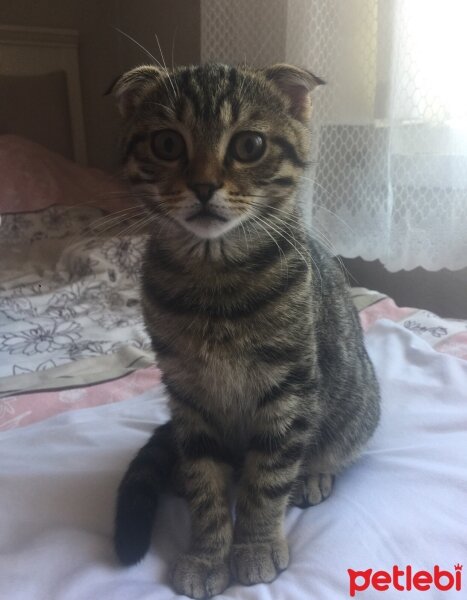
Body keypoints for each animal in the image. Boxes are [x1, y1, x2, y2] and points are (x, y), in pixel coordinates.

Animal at [109, 63, 380, 596]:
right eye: (167, 144)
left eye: (249, 145)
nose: (203, 185)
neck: (214, 286)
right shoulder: (187, 393)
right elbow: (206, 482)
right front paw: (207, 552)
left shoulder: (289, 388)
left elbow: (267, 479)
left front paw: (254, 545)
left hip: (356, 405)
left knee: (330, 449)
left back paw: (313, 475)